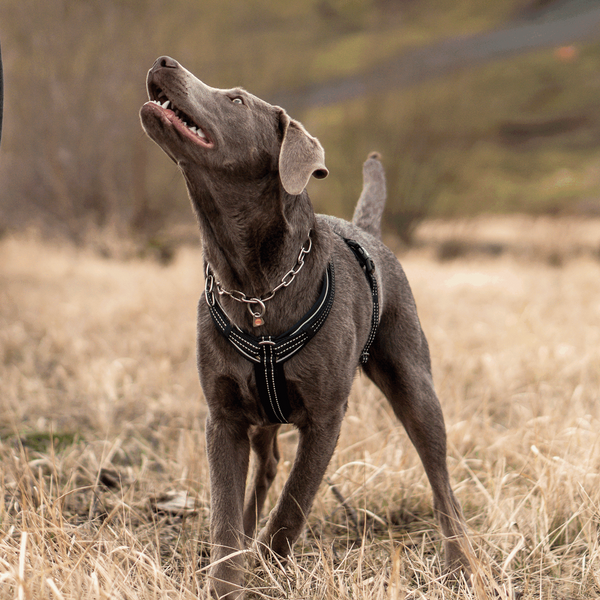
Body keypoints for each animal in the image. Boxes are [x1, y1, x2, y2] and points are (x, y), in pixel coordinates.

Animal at [141, 55, 468, 596]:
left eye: (236, 100)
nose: (164, 61)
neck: (254, 284)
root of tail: (368, 230)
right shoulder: (223, 416)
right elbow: (225, 513)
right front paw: (229, 577)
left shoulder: (325, 417)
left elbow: (294, 505)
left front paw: (267, 569)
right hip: (259, 412)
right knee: (267, 464)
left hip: (414, 383)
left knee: (440, 474)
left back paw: (460, 563)